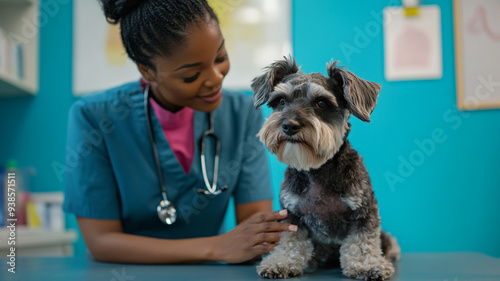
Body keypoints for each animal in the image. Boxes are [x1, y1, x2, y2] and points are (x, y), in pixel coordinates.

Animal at [252, 55, 400, 278]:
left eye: (321, 103)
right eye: (281, 101)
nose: (289, 125)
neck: (317, 170)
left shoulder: (363, 212)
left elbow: (362, 242)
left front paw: (367, 265)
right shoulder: (292, 215)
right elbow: (290, 241)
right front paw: (282, 262)